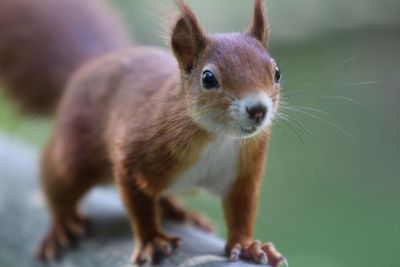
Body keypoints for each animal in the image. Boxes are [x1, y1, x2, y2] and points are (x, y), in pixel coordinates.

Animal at [0, 0, 288, 266]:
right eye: (208, 78)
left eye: (276, 72)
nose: (258, 109)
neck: (218, 138)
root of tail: (88, 67)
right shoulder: (134, 153)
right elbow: (138, 204)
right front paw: (152, 240)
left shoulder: (243, 172)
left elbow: (242, 209)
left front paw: (248, 245)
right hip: (73, 152)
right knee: (55, 178)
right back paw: (62, 223)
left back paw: (178, 211)